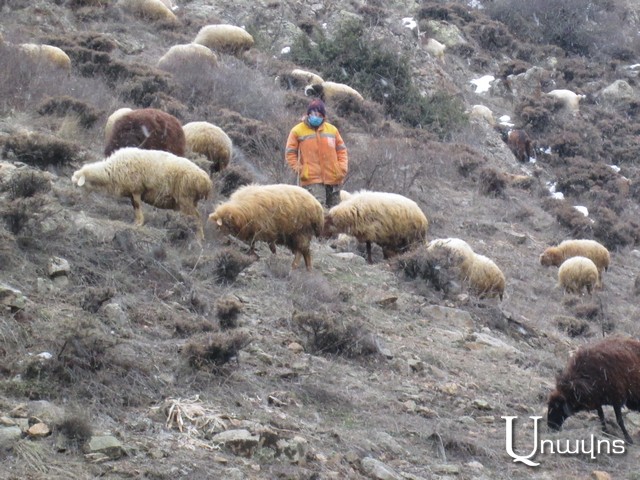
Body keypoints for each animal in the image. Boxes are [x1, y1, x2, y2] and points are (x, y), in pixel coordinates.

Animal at [71, 147, 212, 240]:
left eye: (78, 186)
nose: (75, 200)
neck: (111, 171)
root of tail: (206, 181)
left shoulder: (136, 189)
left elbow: (138, 206)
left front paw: (139, 223)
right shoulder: (132, 192)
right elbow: (134, 206)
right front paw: (135, 222)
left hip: (185, 198)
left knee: (197, 217)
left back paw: (199, 238)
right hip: (188, 201)